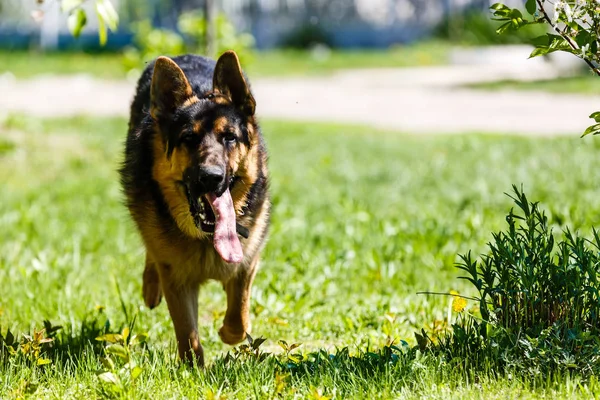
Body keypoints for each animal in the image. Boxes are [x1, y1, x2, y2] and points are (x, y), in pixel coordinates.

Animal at [119, 50, 270, 366]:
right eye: (188, 138)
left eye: (230, 137)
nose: (210, 177)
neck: (206, 238)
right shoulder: (176, 279)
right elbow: (188, 334)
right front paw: (194, 370)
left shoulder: (248, 260)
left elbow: (239, 316)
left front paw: (228, 333)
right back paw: (150, 286)